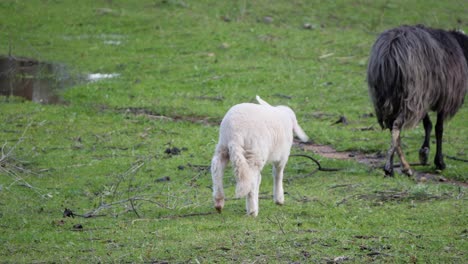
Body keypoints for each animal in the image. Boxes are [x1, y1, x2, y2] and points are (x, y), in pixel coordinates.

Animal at [368, 24, 466, 176]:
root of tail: (390, 50)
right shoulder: (442, 99)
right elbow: (439, 128)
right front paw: (439, 162)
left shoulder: (426, 97)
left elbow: (428, 124)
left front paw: (424, 152)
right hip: (411, 93)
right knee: (396, 126)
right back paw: (399, 167)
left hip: (385, 97)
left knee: (391, 127)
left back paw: (394, 166)